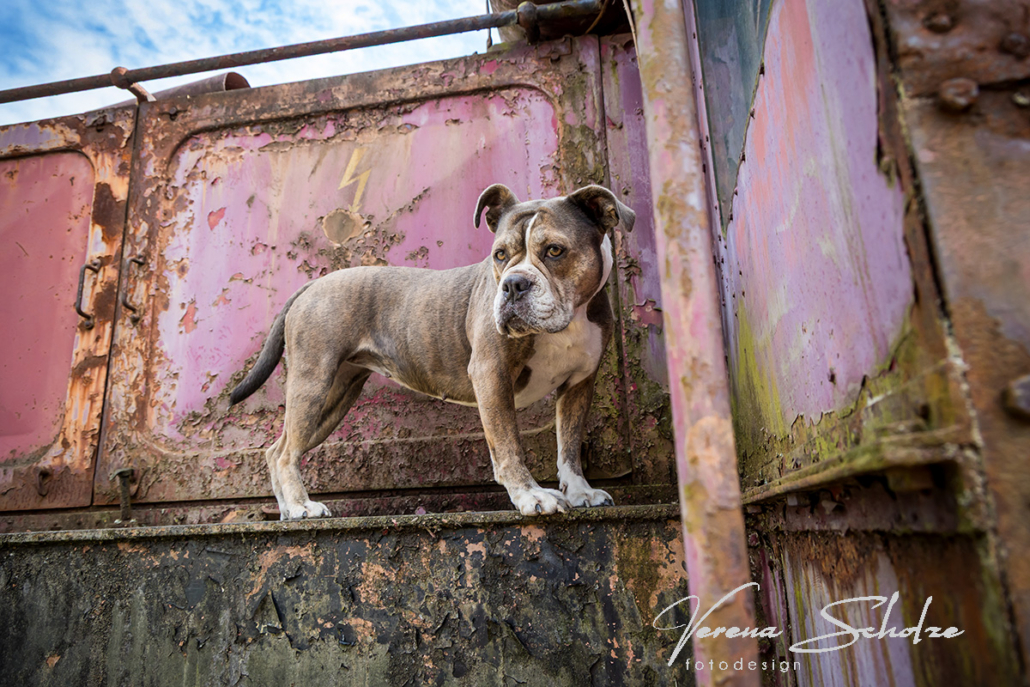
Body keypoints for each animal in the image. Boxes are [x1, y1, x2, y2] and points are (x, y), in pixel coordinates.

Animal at [229, 184, 635, 519]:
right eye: (500, 255)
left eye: (554, 250)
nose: (513, 284)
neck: (569, 320)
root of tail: (313, 284)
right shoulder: (491, 374)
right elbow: (508, 445)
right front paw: (531, 496)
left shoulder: (579, 384)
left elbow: (569, 445)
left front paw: (581, 492)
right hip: (313, 383)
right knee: (286, 453)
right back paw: (302, 506)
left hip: (334, 397)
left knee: (277, 450)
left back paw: (287, 509)